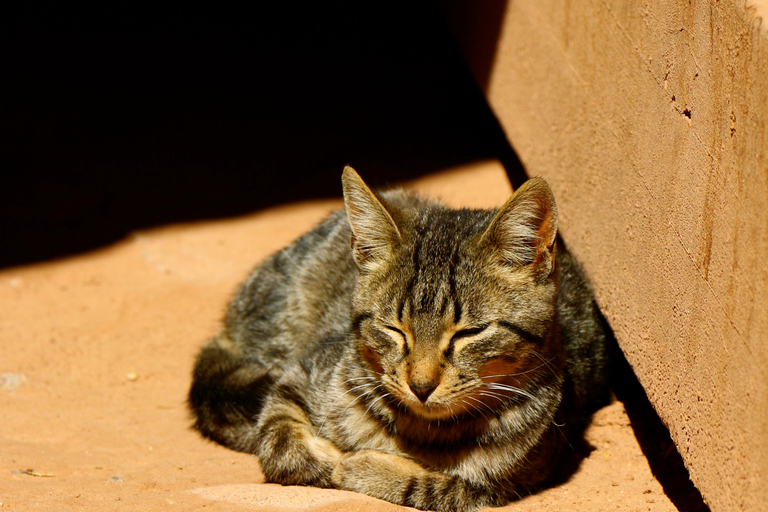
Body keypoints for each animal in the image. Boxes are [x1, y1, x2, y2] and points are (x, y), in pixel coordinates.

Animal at [190, 166, 612, 510]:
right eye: (393, 328)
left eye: (470, 332)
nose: (421, 386)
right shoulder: (301, 374)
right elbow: (280, 442)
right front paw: (330, 459)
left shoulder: (503, 481)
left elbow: (425, 486)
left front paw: (356, 465)